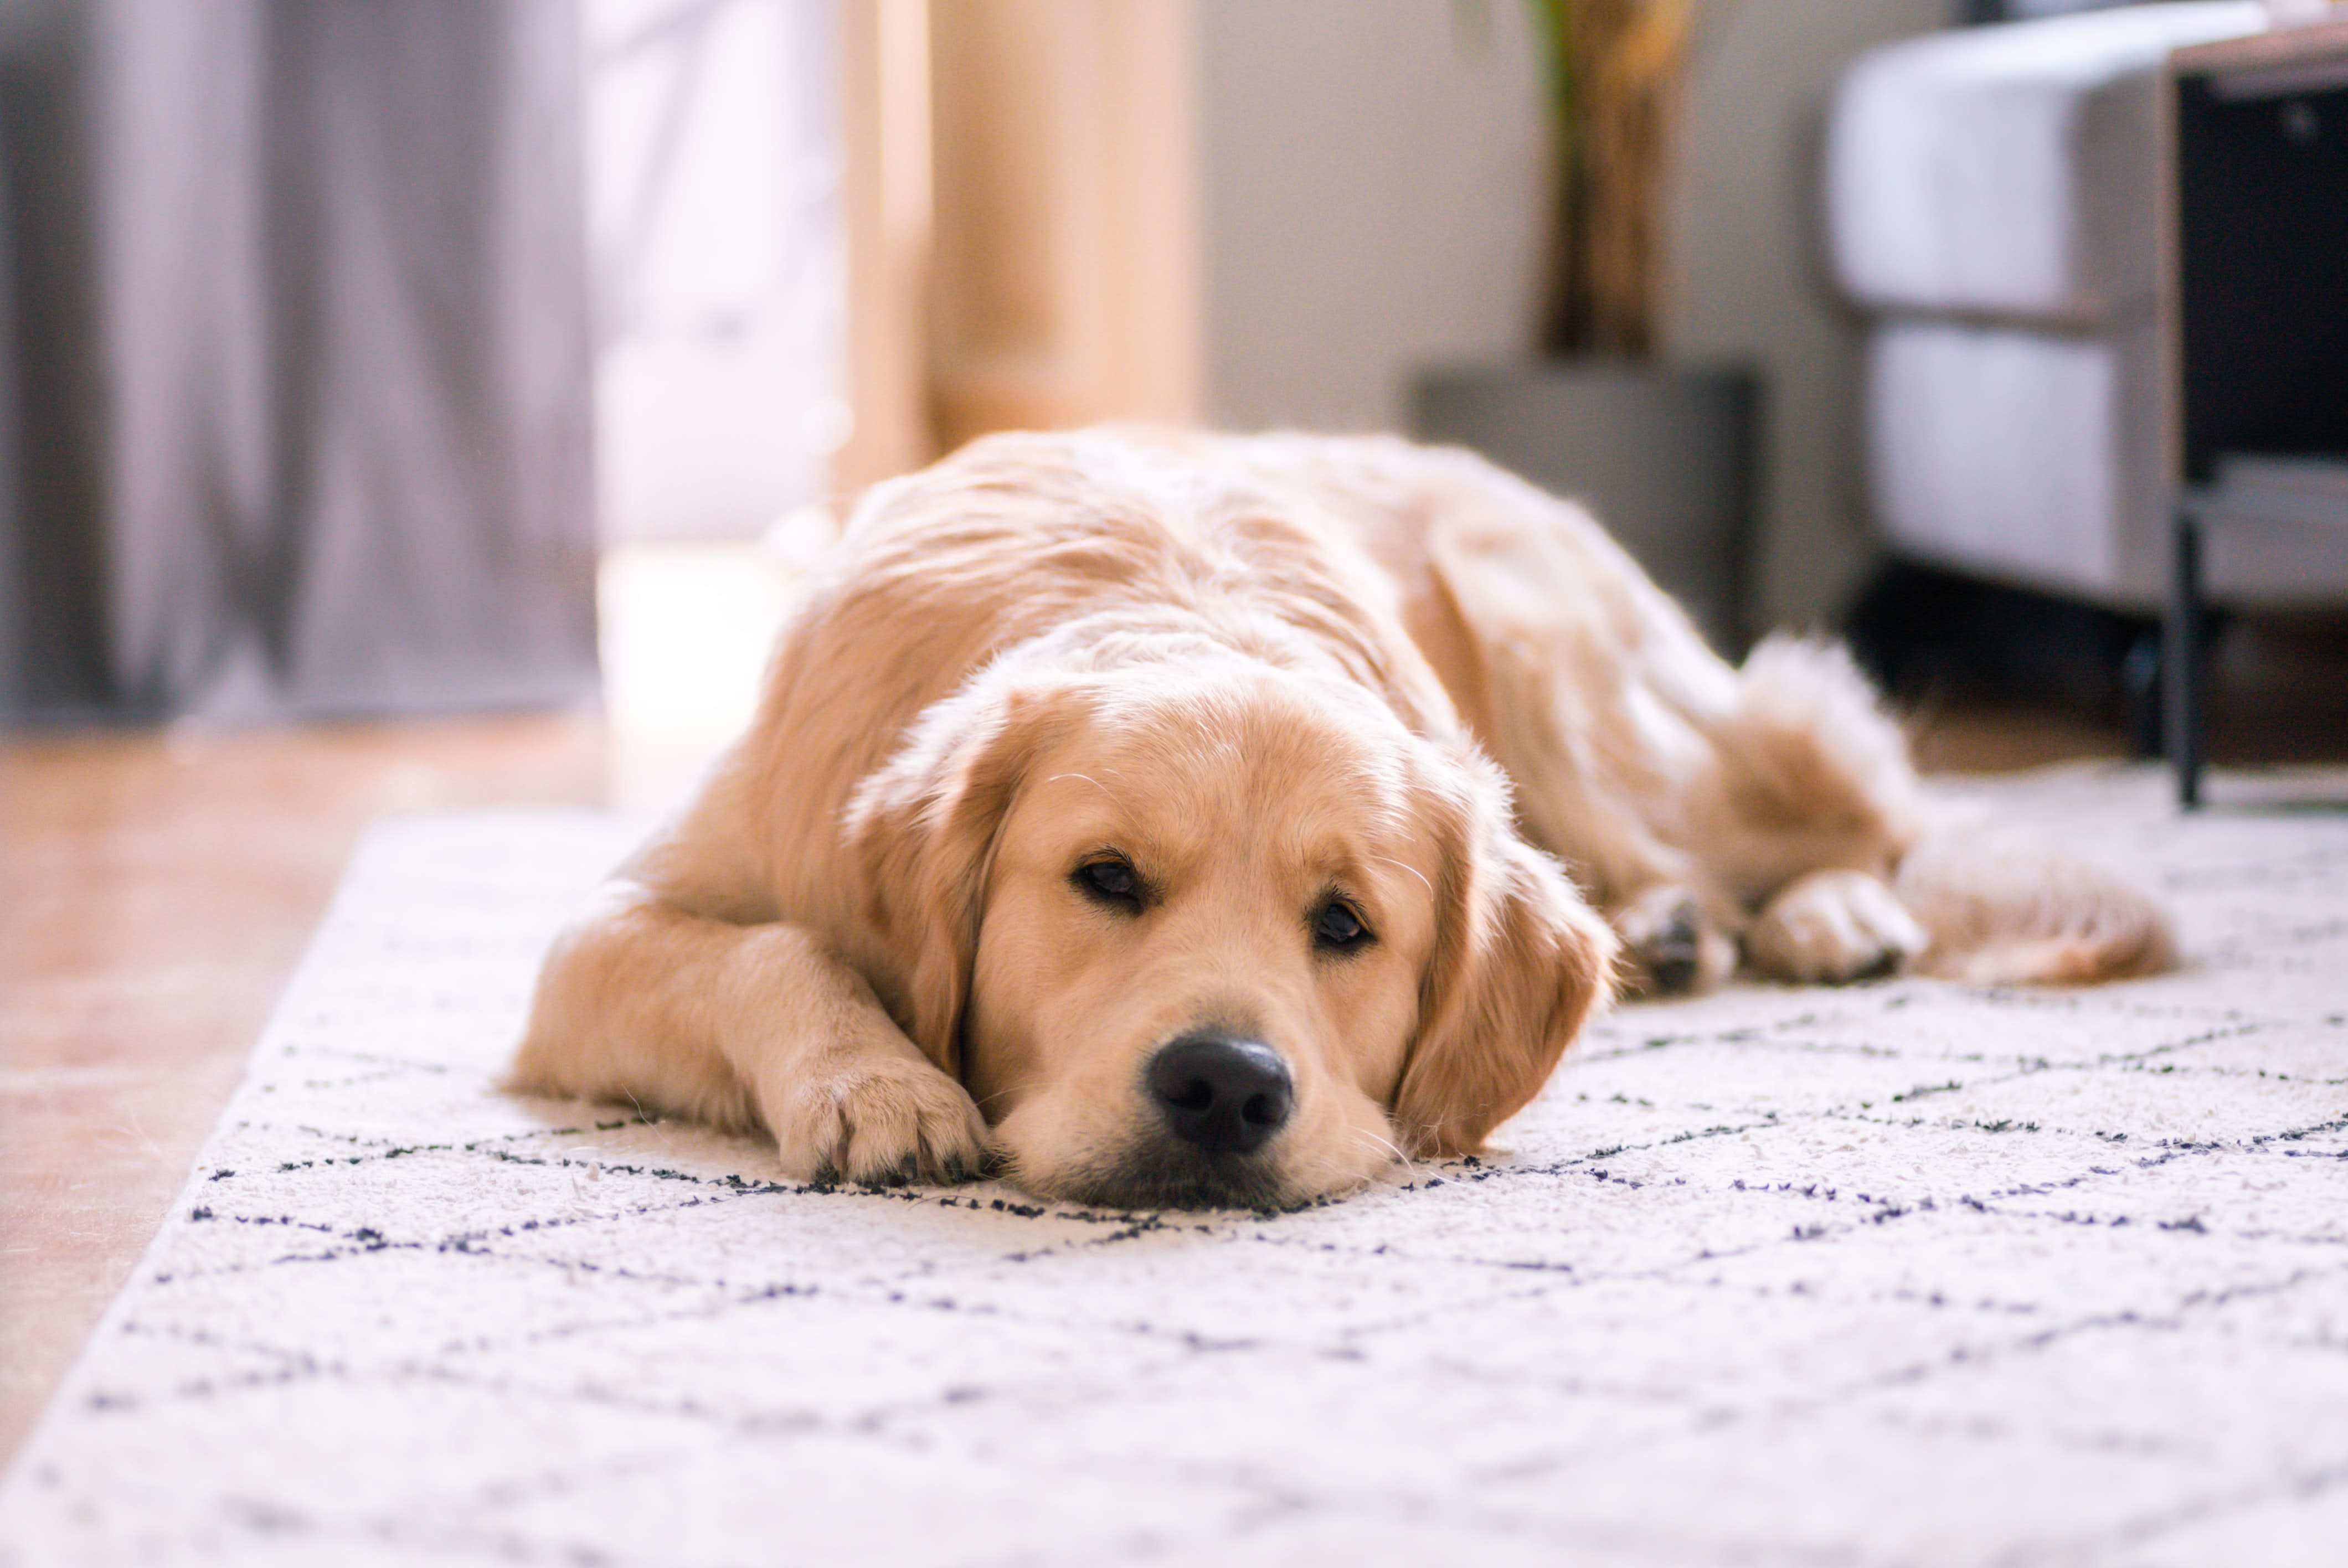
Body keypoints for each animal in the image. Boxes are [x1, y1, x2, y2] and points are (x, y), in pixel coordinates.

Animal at [504, 429, 2169, 1211]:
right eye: (1103, 879)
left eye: (1347, 925)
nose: (1224, 1088)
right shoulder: (596, 939)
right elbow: (771, 950)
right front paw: (878, 1083)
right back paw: (1681, 932)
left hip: (1565, 673)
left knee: (1861, 806)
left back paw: (1823, 913)